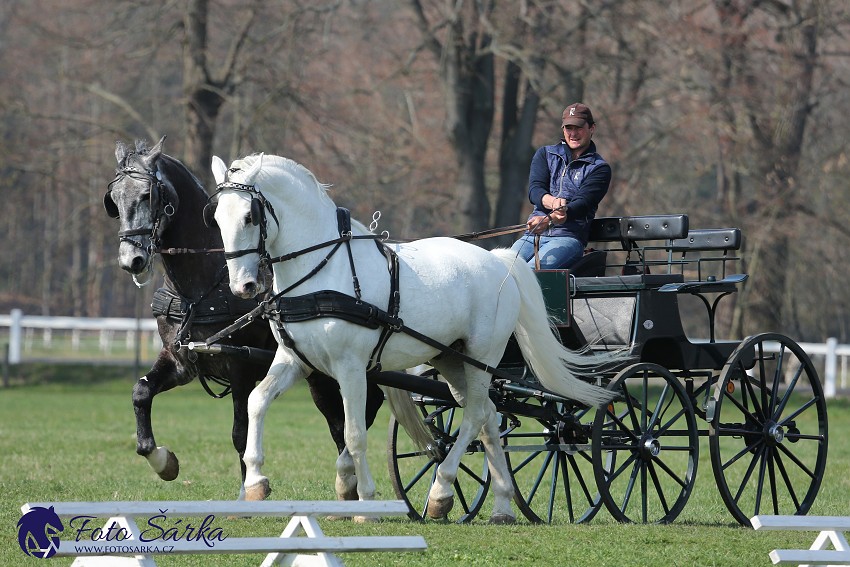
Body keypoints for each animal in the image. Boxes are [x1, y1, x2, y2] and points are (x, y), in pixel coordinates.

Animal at [205, 152, 616, 524]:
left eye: (249, 216)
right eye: (217, 218)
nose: (243, 286)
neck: (322, 271)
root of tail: (500, 261)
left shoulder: (350, 368)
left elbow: (354, 434)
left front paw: (366, 501)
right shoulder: (295, 361)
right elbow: (257, 402)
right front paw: (256, 483)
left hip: (483, 357)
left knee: (473, 416)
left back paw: (441, 491)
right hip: (452, 359)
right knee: (486, 415)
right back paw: (500, 506)